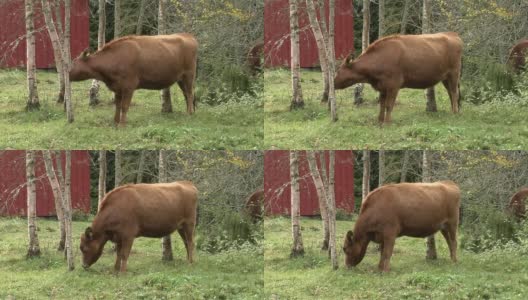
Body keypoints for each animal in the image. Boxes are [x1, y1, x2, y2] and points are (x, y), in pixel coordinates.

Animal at [70, 33, 198, 125]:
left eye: (74, 62)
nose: (67, 72)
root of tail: (187, 35)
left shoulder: (129, 86)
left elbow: (124, 106)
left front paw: (122, 125)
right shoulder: (118, 87)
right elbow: (117, 105)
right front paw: (115, 122)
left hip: (189, 74)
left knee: (190, 93)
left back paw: (189, 113)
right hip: (180, 78)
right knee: (186, 94)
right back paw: (189, 111)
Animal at [334, 31, 462, 123]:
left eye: (339, 70)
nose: (333, 83)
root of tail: (452, 34)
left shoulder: (393, 86)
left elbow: (388, 105)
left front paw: (387, 122)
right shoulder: (383, 87)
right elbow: (382, 104)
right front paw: (380, 121)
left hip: (454, 73)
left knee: (454, 92)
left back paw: (455, 113)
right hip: (445, 77)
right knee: (450, 93)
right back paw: (453, 110)